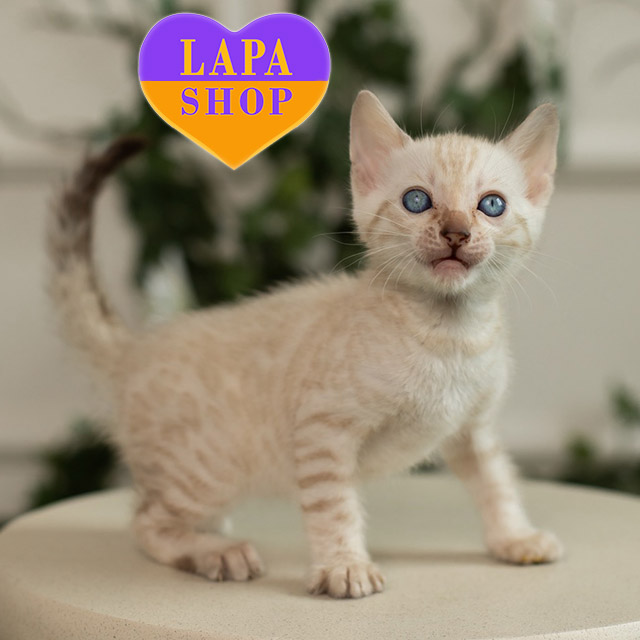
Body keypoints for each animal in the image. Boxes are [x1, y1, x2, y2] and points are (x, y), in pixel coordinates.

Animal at [47, 90, 563, 599]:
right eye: (417, 200)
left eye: (491, 205)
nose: (456, 231)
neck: (451, 334)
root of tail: (135, 347)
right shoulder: (323, 427)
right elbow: (334, 505)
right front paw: (344, 565)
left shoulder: (474, 428)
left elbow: (497, 482)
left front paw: (515, 537)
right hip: (206, 472)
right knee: (146, 523)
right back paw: (217, 551)